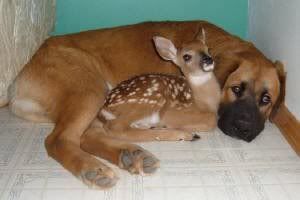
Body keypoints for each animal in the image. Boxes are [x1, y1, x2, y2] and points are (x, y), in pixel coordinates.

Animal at [4, 21, 286, 188]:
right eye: (236, 89)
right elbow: (208, 119)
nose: (243, 129)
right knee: (60, 139)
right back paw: (94, 168)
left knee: (87, 137)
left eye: (266, 100)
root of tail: (16, 84)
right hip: (90, 88)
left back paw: (130, 155)